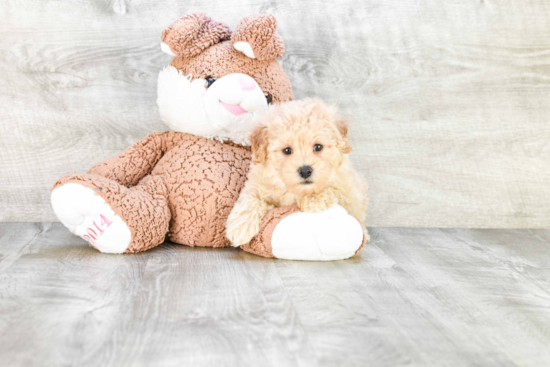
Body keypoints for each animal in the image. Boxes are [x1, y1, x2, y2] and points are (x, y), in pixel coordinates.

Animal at [226, 98, 368, 247]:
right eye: (287, 150)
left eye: (318, 147)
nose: (305, 171)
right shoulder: (256, 184)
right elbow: (250, 199)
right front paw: (240, 227)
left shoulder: (348, 191)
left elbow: (332, 189)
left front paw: (315, 199)